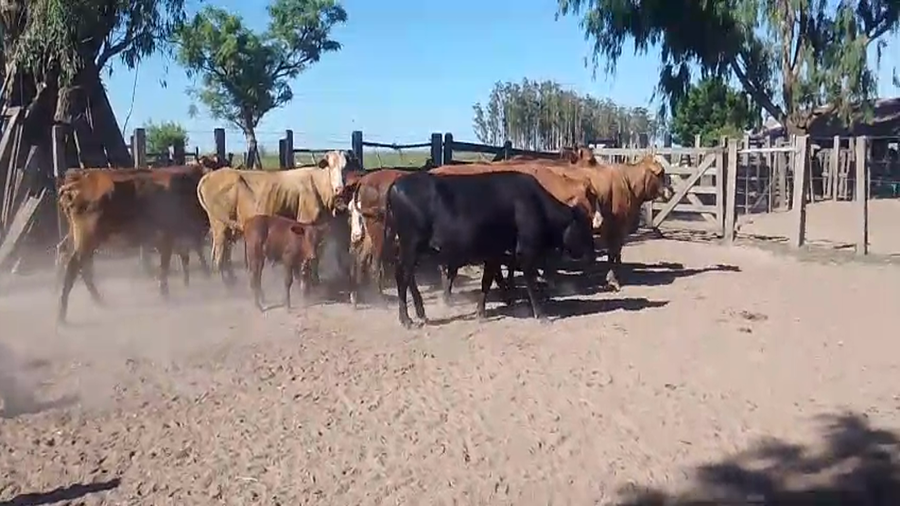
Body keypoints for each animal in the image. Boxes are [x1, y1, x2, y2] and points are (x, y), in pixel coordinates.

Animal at [55, 167, 207, 323]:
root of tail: (77, 180)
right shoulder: (167, 237)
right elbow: (166, 267)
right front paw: (166, 295)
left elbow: (186, 258)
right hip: (88, 238)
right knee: (74, 265)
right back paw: (63, 314)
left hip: (77, 237)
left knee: (70, 258)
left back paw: (97, 301)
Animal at [195, 150, 356, 286]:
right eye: (330, 166)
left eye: (345, 167)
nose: (340, 189)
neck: (317, 185)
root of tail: (209, 176)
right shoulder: (305, 223)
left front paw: (313, 280)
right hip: (220, 226)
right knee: (219, 256)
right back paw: (228, 285)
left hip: (226, 228)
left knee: (224, 255)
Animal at [383, 171, 595, 328]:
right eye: (584, 227)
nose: (588, 254)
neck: (535, 203)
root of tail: (396, 184)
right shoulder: (526, 251)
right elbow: (530, 283)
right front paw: (541, 315)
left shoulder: (494, 253)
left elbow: (487, 281)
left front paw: (481, 312)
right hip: (411, 245)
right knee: (402, 276)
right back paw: (406, 319)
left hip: (413, 249)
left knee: (408, 277)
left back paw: (420, 313)